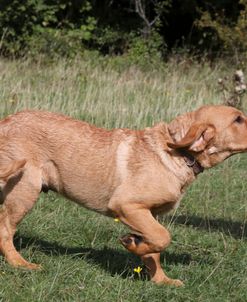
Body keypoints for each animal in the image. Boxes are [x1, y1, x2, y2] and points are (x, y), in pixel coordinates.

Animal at [0, 105, 247, 286]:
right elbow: (163, 237)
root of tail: (5, 122)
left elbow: (154, 250)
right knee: (6, 230)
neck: (178, 153)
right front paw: (130, 243)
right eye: (238, 119)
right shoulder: (126, 206)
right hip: (25, 188)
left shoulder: (148, 214)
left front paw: (161, 280)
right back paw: (21, 264)